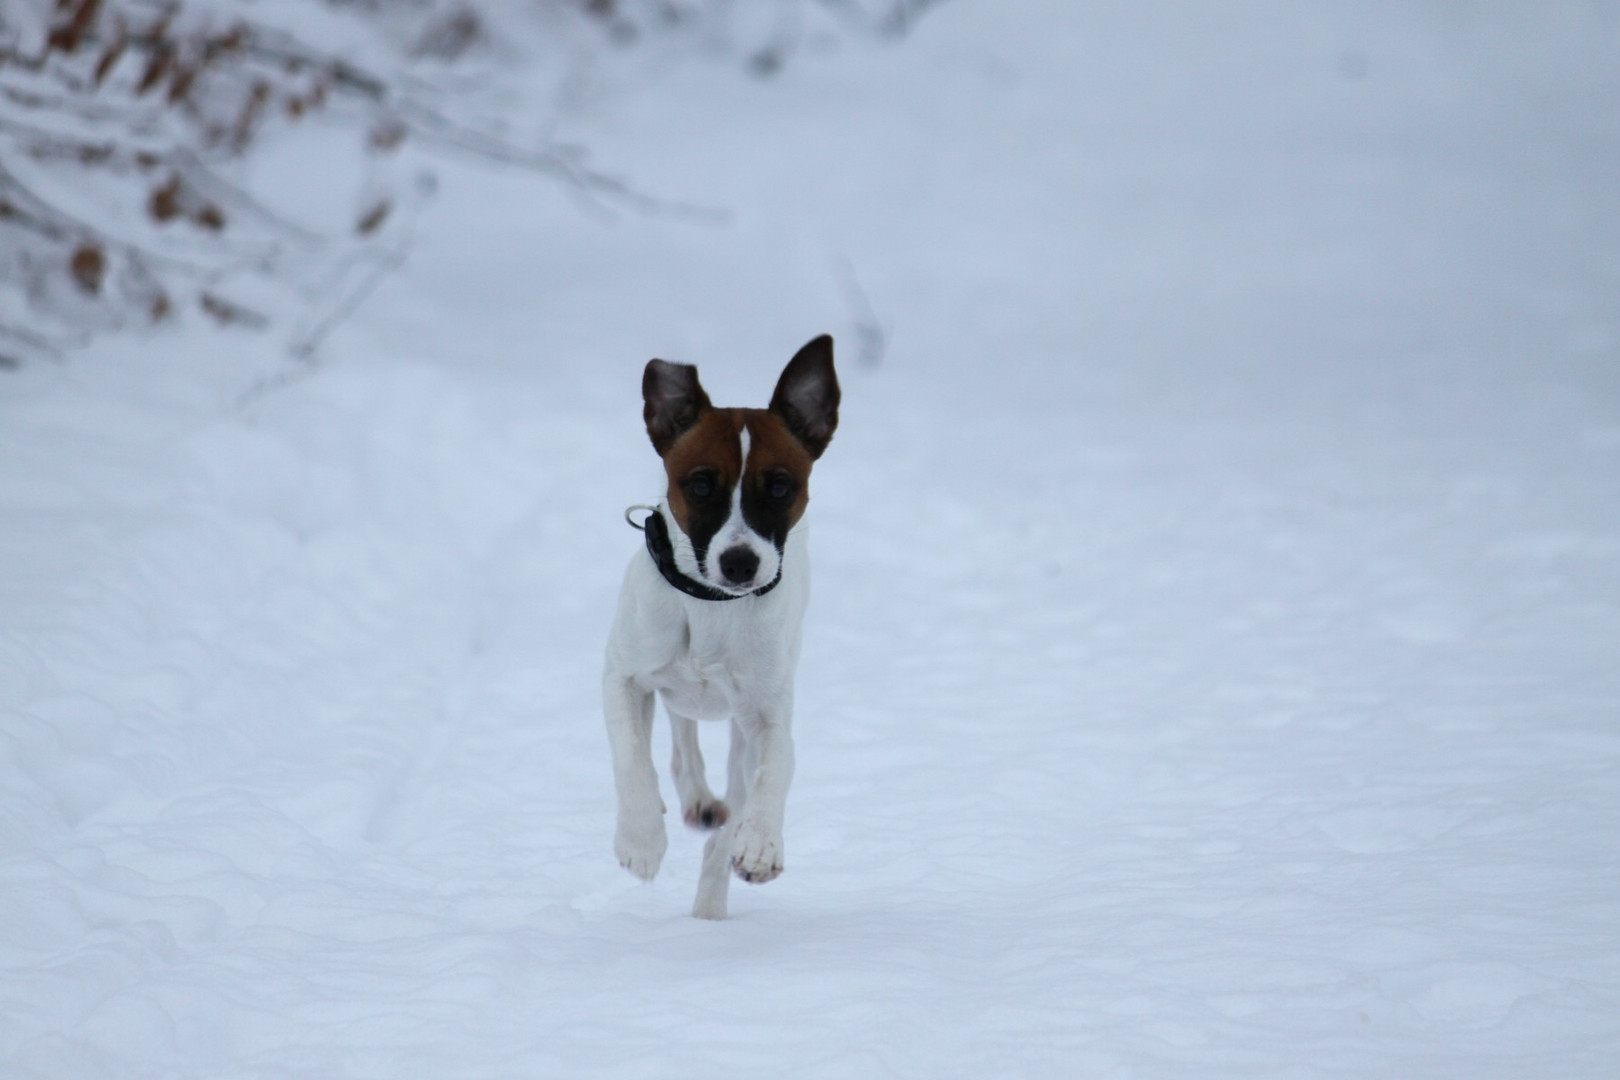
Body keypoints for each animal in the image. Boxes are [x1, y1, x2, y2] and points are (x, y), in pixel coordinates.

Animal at [602, 335, 842, 919]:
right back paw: (692, 799)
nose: (740, 563)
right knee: (679, 734)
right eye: (701, 485)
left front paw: (759, 844)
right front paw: (641, 839)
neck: (714, 608)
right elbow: (631, 755)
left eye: (779, 487)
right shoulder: (622, 677)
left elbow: (773, 769)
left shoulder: (766, 716)